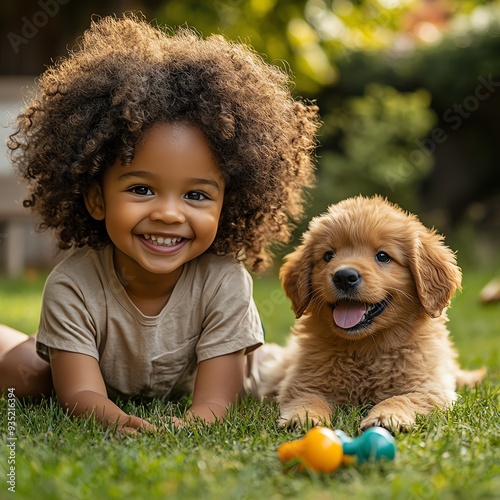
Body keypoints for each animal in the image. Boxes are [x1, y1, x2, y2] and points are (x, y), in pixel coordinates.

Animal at [256, 195, 482, 430]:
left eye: (382, 256)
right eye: (328, 256)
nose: (344, 277)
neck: (365, 348)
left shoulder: (429, 387)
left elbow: (402, 398)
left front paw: (387, 416)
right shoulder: (303, 381)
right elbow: (309, 397)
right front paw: (302, 417)